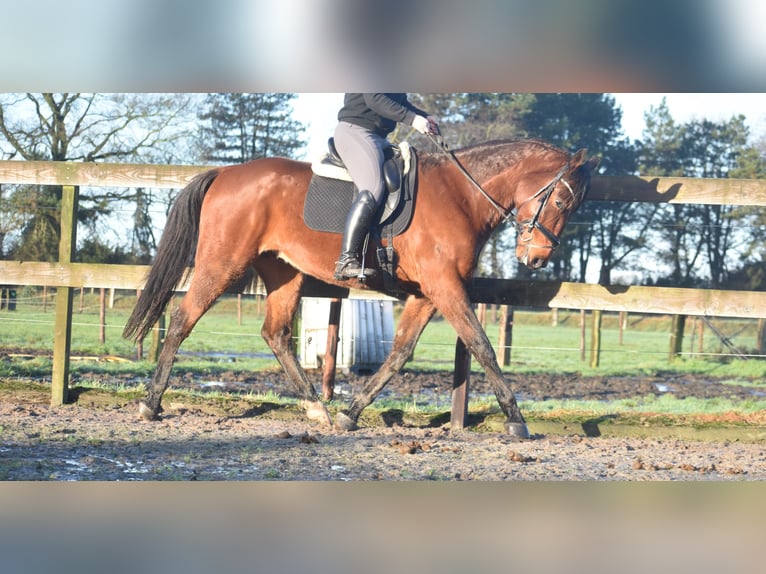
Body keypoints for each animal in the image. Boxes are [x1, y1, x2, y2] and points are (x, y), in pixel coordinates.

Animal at [123, 137, 600, 438]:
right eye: (561, 201)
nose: (536, 259)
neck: (461, 196)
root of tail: (225, 173)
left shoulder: (428, 293)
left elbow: (400, 353)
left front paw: (351, 414)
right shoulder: (445, 287)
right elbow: (481, 346)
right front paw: (516, 419)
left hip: (283, 272)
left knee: (275, 333)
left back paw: (317, 407)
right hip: (221, 263)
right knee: (183, 319)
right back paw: (151, 403)